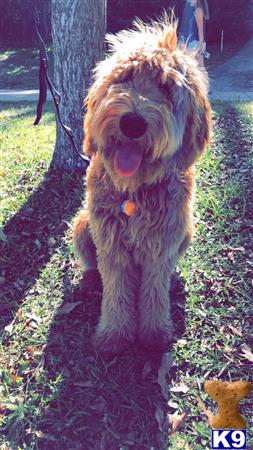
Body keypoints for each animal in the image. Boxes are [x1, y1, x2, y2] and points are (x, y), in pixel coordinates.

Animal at [72, 14, 211, 356]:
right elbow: (116, 290)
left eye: (166, 87)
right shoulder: (110, 243)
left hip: (186, 231)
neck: (133, 192)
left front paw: (153, 334)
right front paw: (114, 335)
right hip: (82, 225)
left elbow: (153, 290)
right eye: (124, 78)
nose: (132, 122)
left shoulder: (162, 244)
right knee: (94, 265)